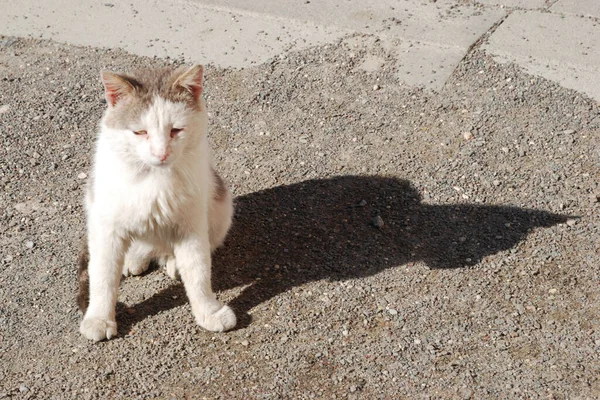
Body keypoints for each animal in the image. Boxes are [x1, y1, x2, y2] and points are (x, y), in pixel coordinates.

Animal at [75, 65, 234, 340]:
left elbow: (199, 271)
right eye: (140, 132)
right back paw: (134, 260)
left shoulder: (191, 224)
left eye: (176, 130)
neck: (153, 178)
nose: (161, 154)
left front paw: (209, 312)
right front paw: (99, 318)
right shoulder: (105, 227)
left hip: (220, 206)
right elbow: (102, 276)